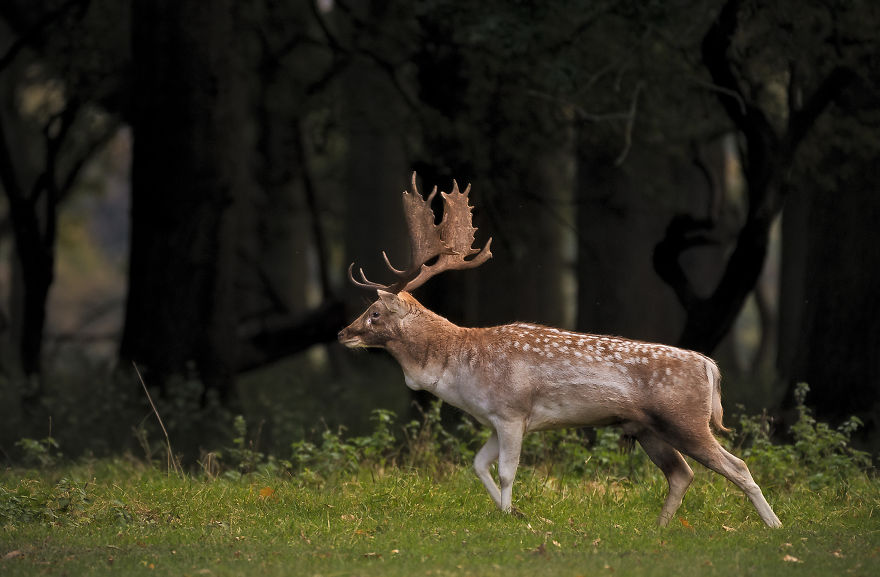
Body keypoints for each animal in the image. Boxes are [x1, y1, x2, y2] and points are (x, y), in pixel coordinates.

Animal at [338, 172, 782, 528]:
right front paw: (513, 512)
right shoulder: (494, 420)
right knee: (681, 473)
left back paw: (774, 526)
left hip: (686, 419)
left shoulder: (512, 411)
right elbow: (478, 465)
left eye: (374, 313)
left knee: (737, 465)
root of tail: (710, 365)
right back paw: (660, 528)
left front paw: (510, 516)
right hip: (646, 428)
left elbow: (507, 472)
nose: (343, 333)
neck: (459, 368)